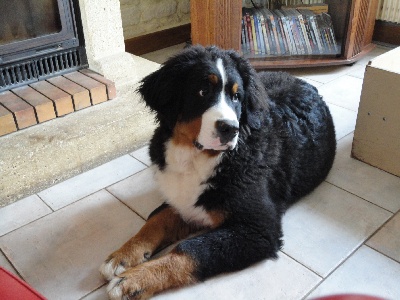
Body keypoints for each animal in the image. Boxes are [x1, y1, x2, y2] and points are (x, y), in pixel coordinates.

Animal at [101, 45, 338, 298]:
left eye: (236, 96)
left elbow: (192, 250)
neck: (195, 158)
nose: (230, 129)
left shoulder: (258, 230)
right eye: (202, 91)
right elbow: (156, 218)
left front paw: (133, 280)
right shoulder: (182, 199)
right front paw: (123, 256)